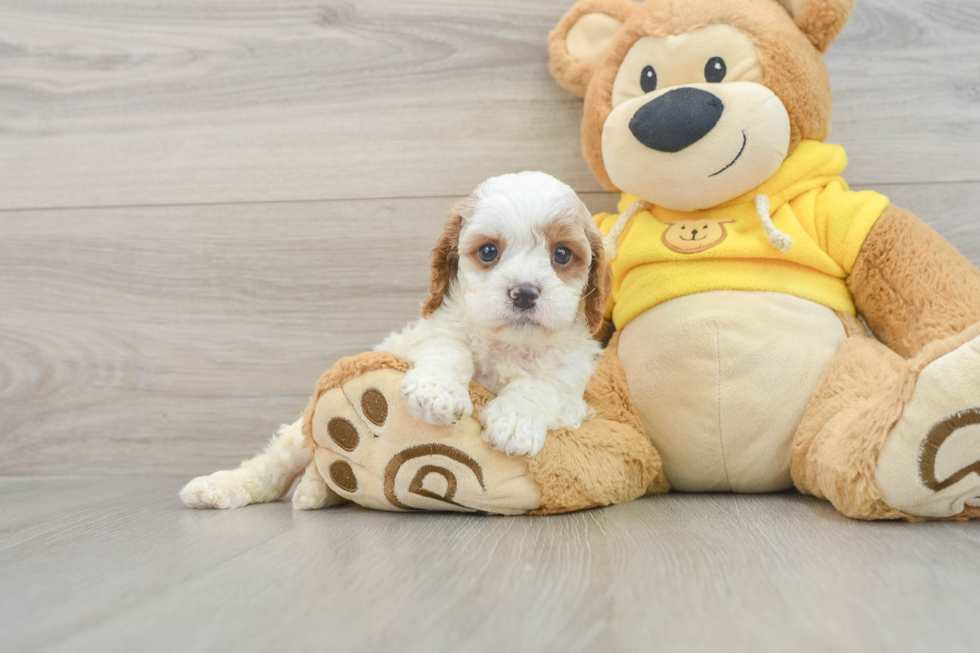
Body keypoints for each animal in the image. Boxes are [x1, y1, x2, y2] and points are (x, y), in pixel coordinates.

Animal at [176, 169, 604, 510]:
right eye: (488, 251)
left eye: (562, 255)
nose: (525, 293)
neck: (509, 343)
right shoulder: (432, 331)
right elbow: (451, 349)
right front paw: (438, 392)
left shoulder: (574, 391)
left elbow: (541, 386)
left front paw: (514, 422)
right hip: (298, 436)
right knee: (280, 462)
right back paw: (222, 488)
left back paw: (319, 489)